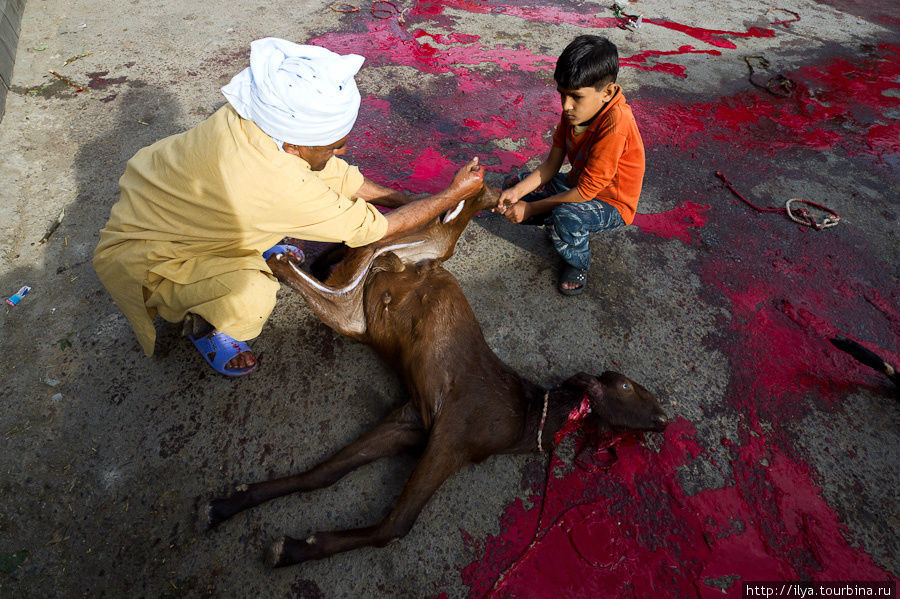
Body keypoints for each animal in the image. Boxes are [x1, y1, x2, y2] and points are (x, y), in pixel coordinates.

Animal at [204, 182, 668, 568]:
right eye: (626, 386)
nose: (664, 421)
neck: (529, 415)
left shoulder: (412, 421)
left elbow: (325, 473)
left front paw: (234, 504)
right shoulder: (452, 435)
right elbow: (395, 524)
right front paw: (295, 549)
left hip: (371, 299)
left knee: (356, 267)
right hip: (406, 257)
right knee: (398, 238)